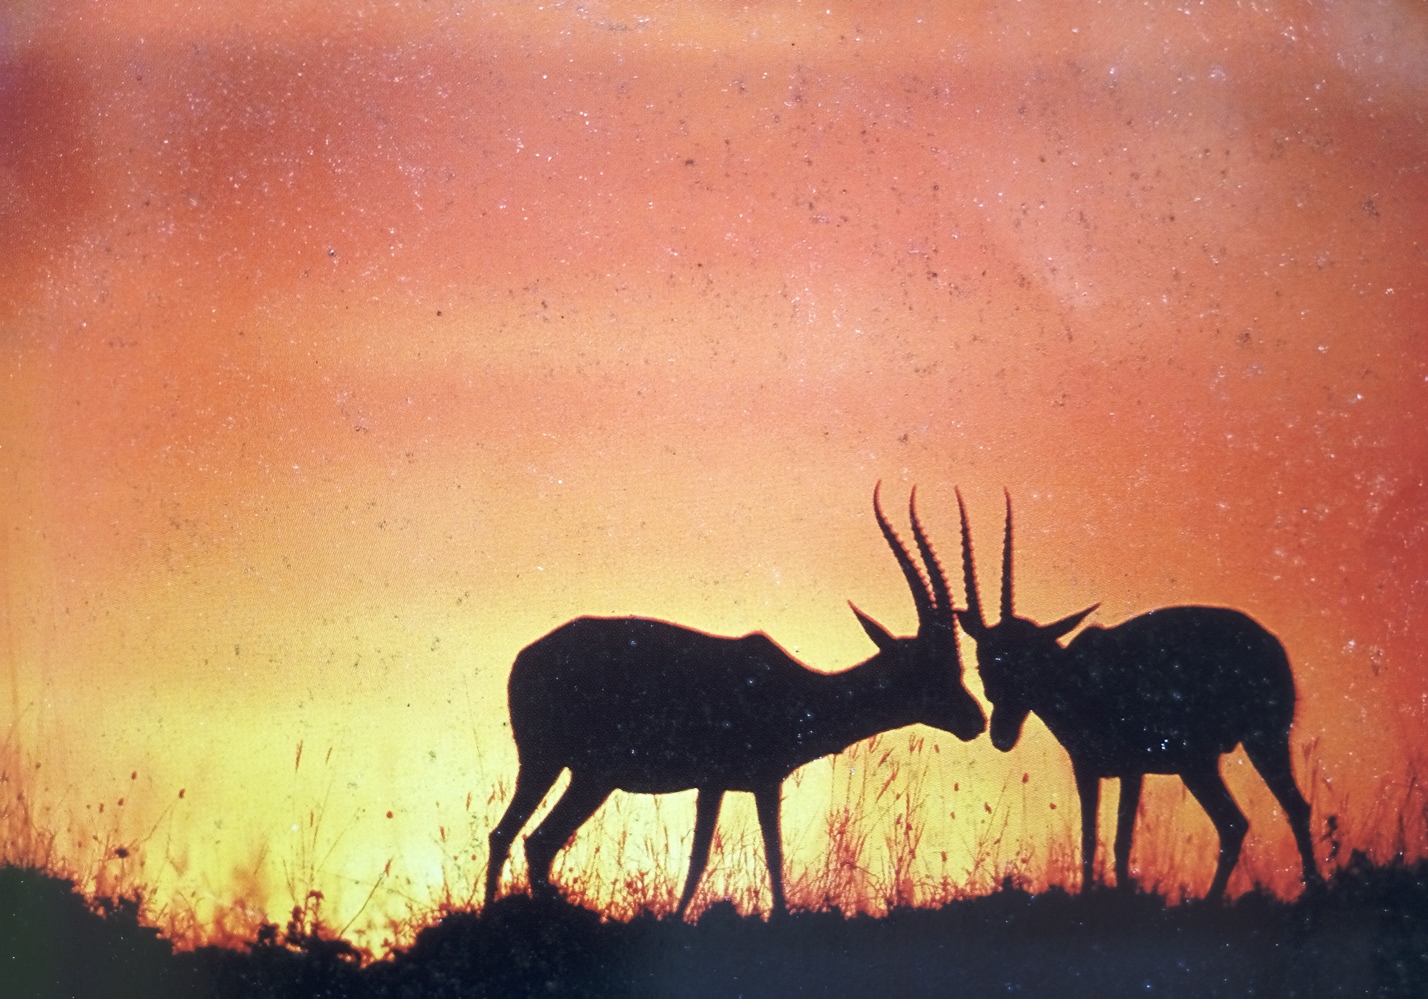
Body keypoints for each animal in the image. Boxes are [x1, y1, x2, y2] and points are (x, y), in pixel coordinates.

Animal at [484, 485, 986, 917]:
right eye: (934, 668)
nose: (976, 720)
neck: (795, 689)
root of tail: (525, 657)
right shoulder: (735, 782)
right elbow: (727, 857)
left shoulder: (740, 784)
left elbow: (742, 856)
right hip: (567, 768)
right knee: (521, 837)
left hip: (576, 773)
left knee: (525, 839)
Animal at [955, 490, 1321, 901]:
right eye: (983, 667)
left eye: (1026, 665)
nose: (1001, 735)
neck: (1079, 677)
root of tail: (1270, 642)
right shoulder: (1087, 769)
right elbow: (1089, 838)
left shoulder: (1132, 770)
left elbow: (1121, 841)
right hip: (1198, 765)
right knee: (1236, 823)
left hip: (1259, 743)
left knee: (1288, 809)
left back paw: (1310, 890)